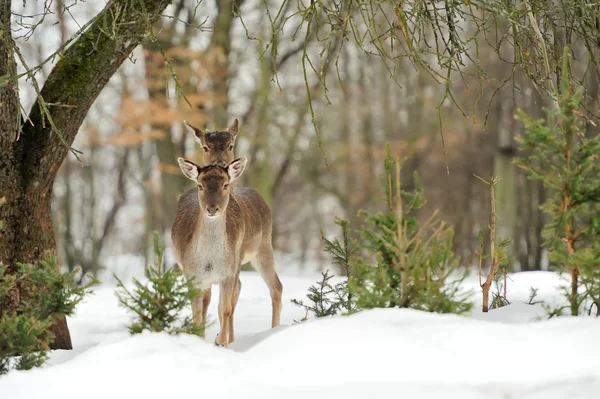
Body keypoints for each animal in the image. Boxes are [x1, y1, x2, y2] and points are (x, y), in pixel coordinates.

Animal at [169, 156, 282, 346]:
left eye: (225, 185)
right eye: (200, 185)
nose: (212, 209)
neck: (209, 261)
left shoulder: (228, 273)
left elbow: (225, 308)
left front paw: (221, 342)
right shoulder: (192, 274)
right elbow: (197, 312)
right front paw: (199, 338)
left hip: (263, 247)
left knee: (275, 287)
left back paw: (273, 331)